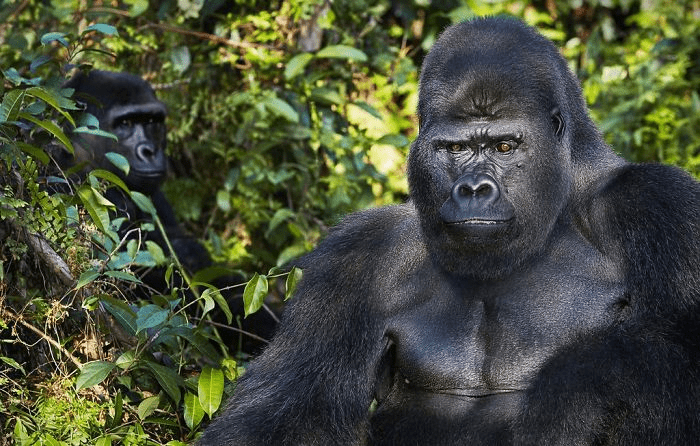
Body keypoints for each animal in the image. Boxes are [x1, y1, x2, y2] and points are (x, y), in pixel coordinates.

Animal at [198, 15, 700, 444]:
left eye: (504, 146)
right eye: (455, 149)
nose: (473, 188)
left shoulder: (657, 205)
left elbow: (669, 356)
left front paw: (573, 389)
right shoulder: (360, 254)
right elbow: (292, 403)